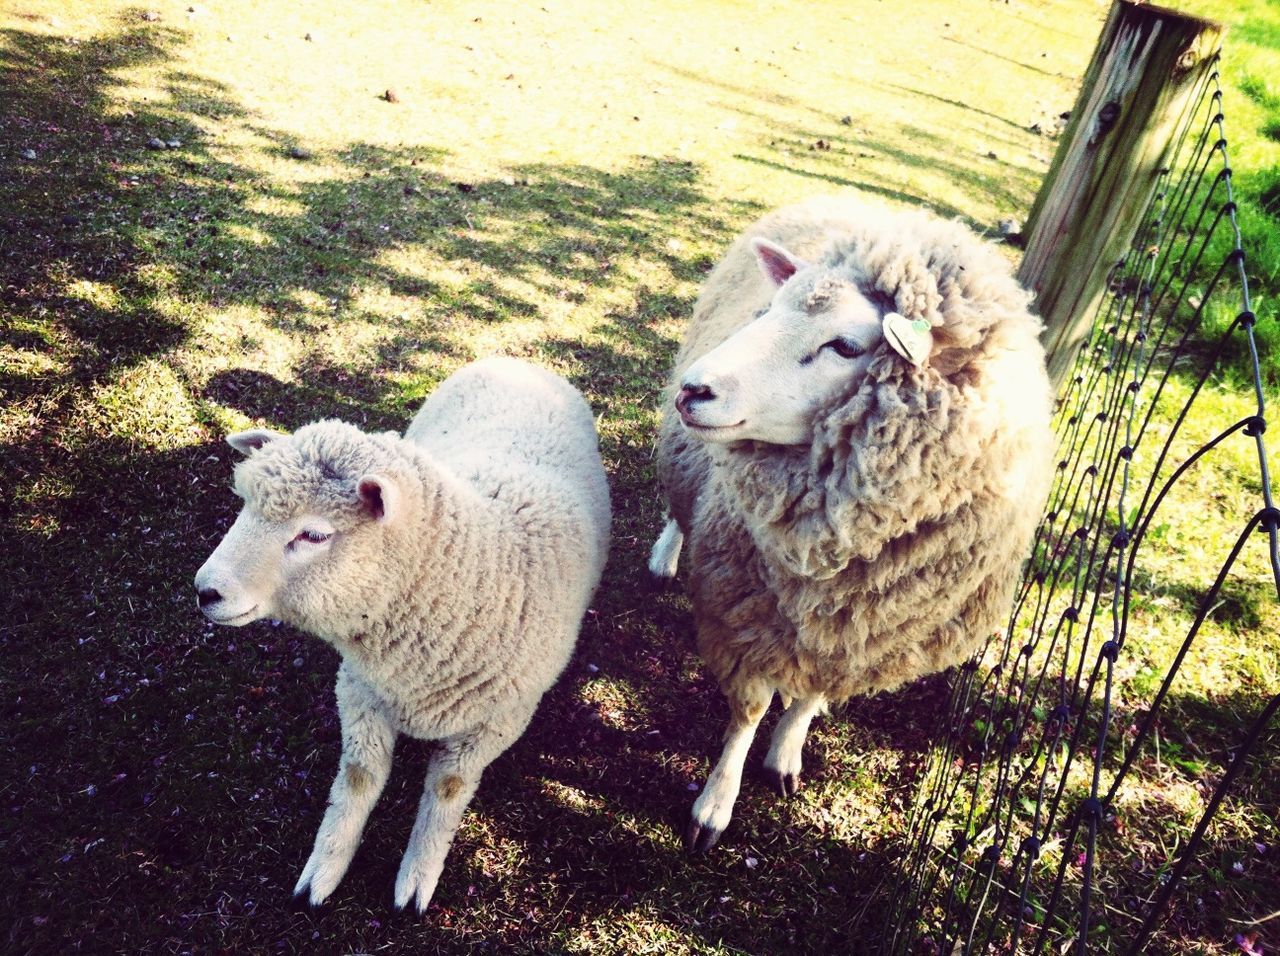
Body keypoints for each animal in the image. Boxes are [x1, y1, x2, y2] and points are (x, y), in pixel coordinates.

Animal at [190, 358, 609, 911]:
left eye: (315, 534)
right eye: (244, 506)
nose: (205, 590)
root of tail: (516, 360)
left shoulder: (496, 722)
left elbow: (448, 789)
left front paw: (416, 878)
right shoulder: (361, 690)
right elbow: (359, 778)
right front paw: (324, 869)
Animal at [655, 194, 1054, 854]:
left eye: (844, 346)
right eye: (771, 309)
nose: (694, 390)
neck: (842, 558)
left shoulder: (863, 626)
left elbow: (809, 696)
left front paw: (786, 755)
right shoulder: (745, 614)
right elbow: (749, 712)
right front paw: (715, 804)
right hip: (682, 450)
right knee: (678, 496)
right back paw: (665, 552)